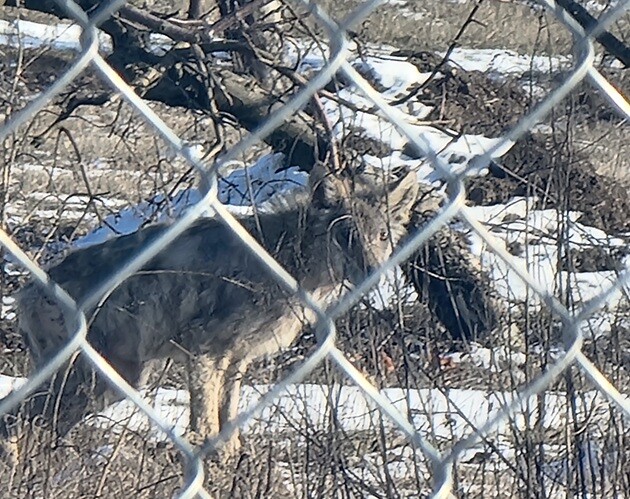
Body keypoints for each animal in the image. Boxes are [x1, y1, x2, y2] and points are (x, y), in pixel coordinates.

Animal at [3, 163, 424, 458]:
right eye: (346, 235)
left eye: (382, 236)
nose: (375, 270)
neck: (288, 261)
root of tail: (26, 292)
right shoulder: (203, 350)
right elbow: (204, 422)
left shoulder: (237, 358)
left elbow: (229, 417)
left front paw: (231, 458)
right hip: (97, 380)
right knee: (18, 421)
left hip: (111, 383)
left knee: (34, 423)